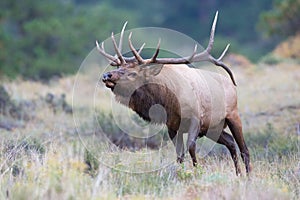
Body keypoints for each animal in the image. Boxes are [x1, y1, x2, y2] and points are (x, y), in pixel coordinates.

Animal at [96, 12, 251, 175]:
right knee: (231, 143)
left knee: (244, 149)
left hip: (233, 115)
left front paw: (197, 172)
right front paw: (180, 173)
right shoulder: (172, 126)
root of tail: (232, 85)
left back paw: (247, 175)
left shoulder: (196, 119)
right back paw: (238, 174)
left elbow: (191, 147)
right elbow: (179, 155)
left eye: (132, 73)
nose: (106, 75)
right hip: (214, 127)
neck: (170, 102)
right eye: (119, 68)